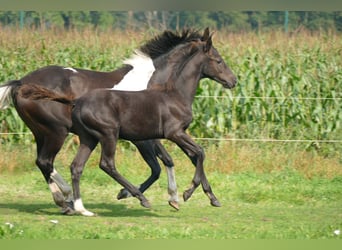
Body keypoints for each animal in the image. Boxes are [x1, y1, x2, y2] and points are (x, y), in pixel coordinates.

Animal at [19, 28, 238, 216]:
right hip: (64, 132)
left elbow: (182, 158)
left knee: (56, 164)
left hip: (53, 135)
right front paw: (180, 194)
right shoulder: (157, 136)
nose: (233, 81)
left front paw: (203, 197)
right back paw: (68, 198)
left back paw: (72, 204)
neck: (165, 86)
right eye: (219, 60)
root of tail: (19, 83)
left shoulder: (161, 135)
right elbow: (175, 160)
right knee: (61, 162)